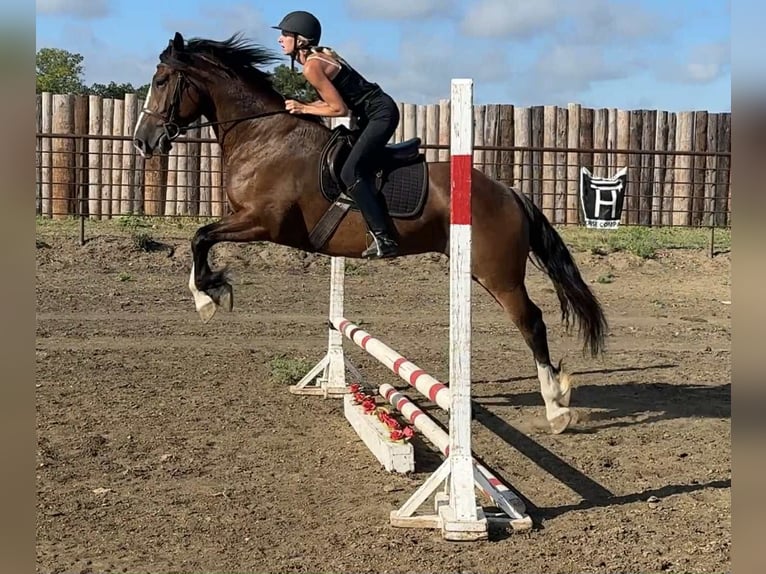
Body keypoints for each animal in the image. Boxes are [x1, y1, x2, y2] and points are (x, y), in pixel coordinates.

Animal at [133, 32, 608, 434]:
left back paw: (556, 407)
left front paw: (208, 297)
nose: (143, 142)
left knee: (532, 321)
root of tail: (509, 191)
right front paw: (210, 292)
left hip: (498, 273)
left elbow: (200, 237)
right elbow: (200, 237)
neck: (262, 134)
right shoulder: (246, 219)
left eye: (161, 81)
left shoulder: (262, 222)